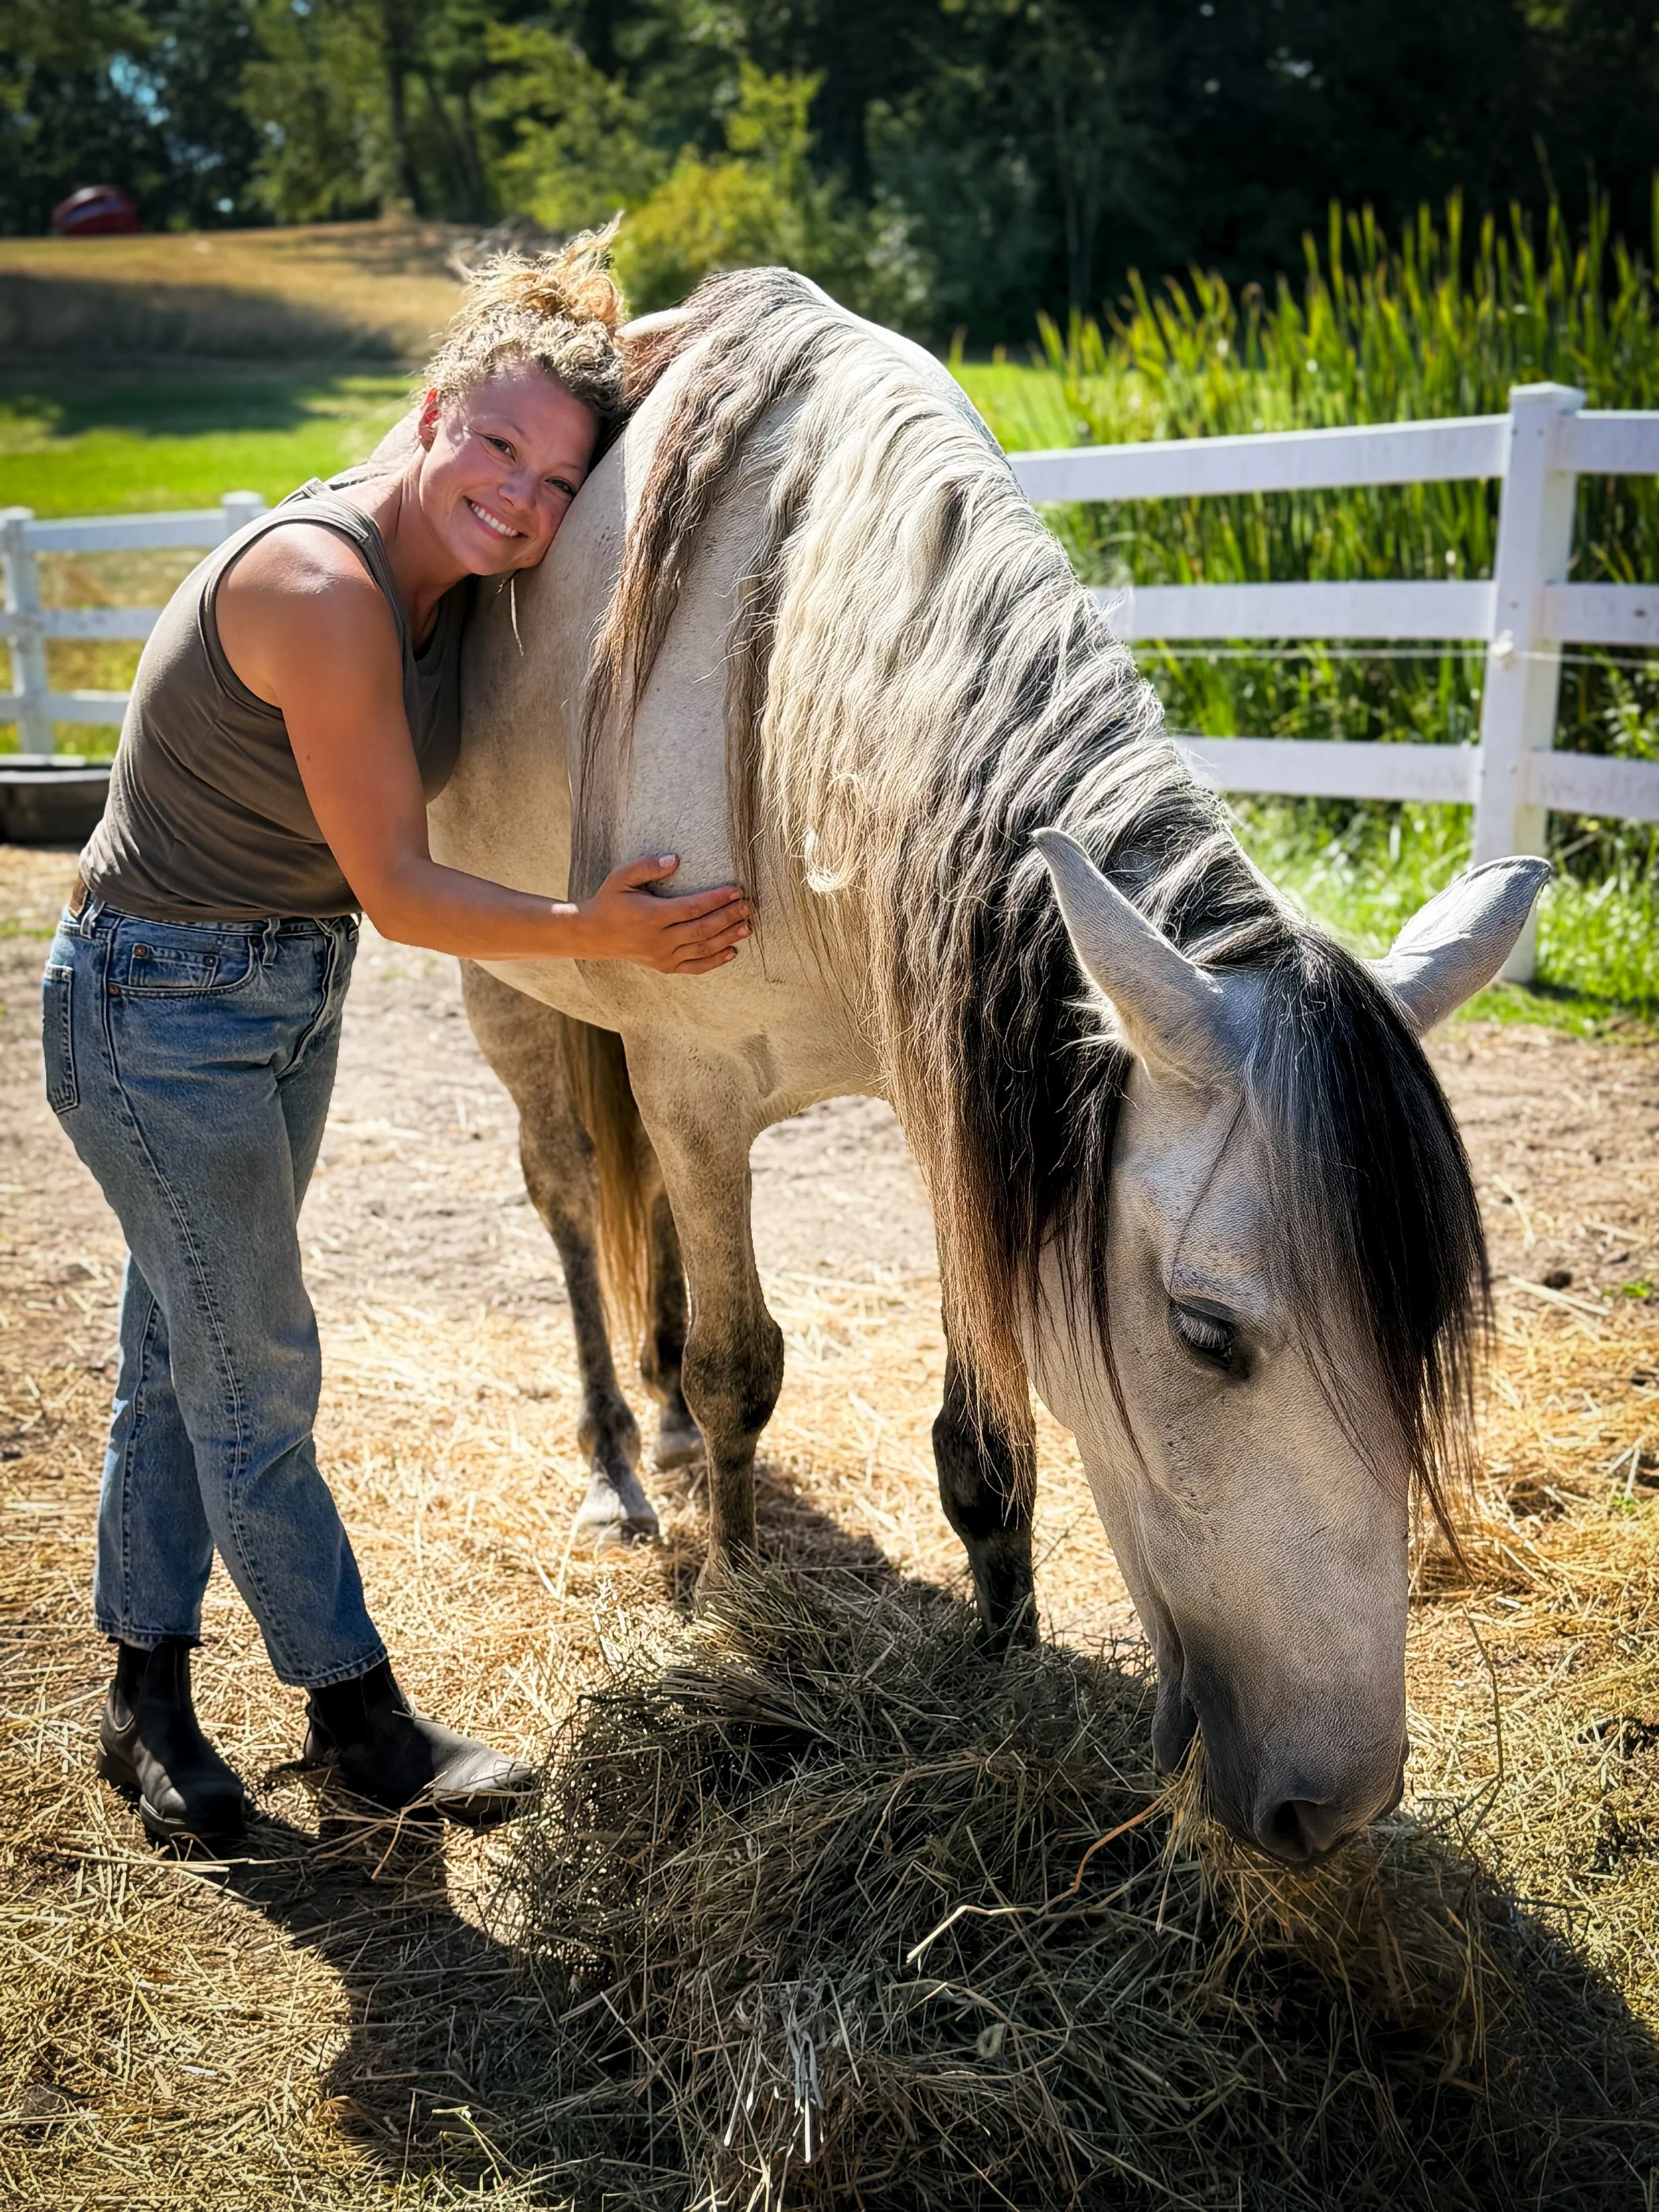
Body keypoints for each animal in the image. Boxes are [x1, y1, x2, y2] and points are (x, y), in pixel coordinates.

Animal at [429, 269, 1547, 1863]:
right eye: (1205, 1334)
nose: (1333, 1805)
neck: (789, 681)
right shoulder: (697, 1091)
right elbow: (740, 1365)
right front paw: (742, 1612)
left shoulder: (957, 1085)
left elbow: (983, 1437)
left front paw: (1002, 1648)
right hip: (507, 991)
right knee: (577, 1201)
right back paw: (619, 1468)